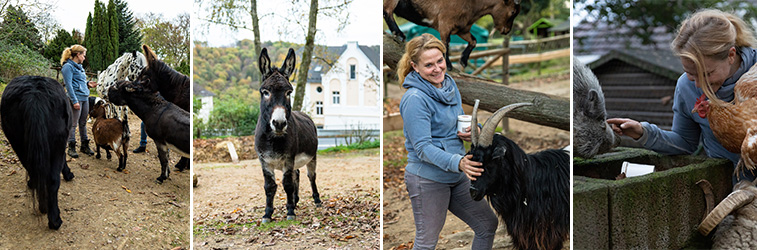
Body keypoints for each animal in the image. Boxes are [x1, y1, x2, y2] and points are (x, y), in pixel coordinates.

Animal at [0, 75, 75, 229]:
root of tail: (34, 95)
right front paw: (68, 174)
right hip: (56, 145)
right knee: (52, 180)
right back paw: (54, 219)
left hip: (18, 144)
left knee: (34, 171)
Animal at [384, 0, 520, 68]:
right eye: (513, 11)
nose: (507, 31)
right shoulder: (445, 23)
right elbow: (445, 44)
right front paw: (448, 65)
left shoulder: (462, 29)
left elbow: (473, 41)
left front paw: (463, 61)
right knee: (387, 11)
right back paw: (399, 34)